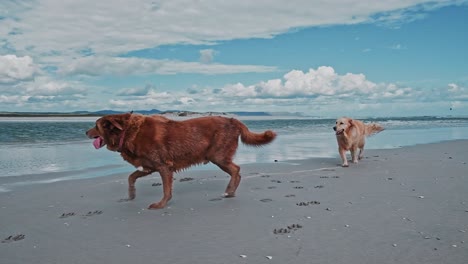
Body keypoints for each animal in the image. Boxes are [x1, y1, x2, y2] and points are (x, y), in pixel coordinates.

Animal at [86, 112, 276, 209]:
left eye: (95, 126)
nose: (85, 132)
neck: (127, 132)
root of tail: (232, 119)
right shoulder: (147, 167)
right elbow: (131, 177)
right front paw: (131, 195)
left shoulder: (163, 166)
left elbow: (166, 189)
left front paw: (161, 204)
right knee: (237, 171)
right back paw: (231, 192)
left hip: (218, 156)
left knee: (236, 170)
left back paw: (229, 191)